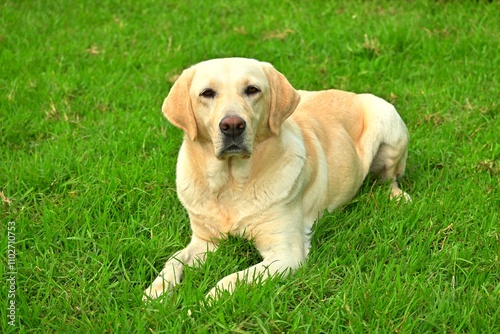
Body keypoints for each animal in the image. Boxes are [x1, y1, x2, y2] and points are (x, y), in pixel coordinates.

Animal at [144, 56, 410, 300]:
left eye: (252, 90)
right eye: (207, 93)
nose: (232, 125)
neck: (231, 184)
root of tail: (353, 93)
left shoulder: (285, 254)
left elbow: (231, 279)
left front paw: (205, 302)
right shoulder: (205, 241)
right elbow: (174, 260)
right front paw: (156, 291)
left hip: (388, 123)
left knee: (389, 177)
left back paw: (396, 197)